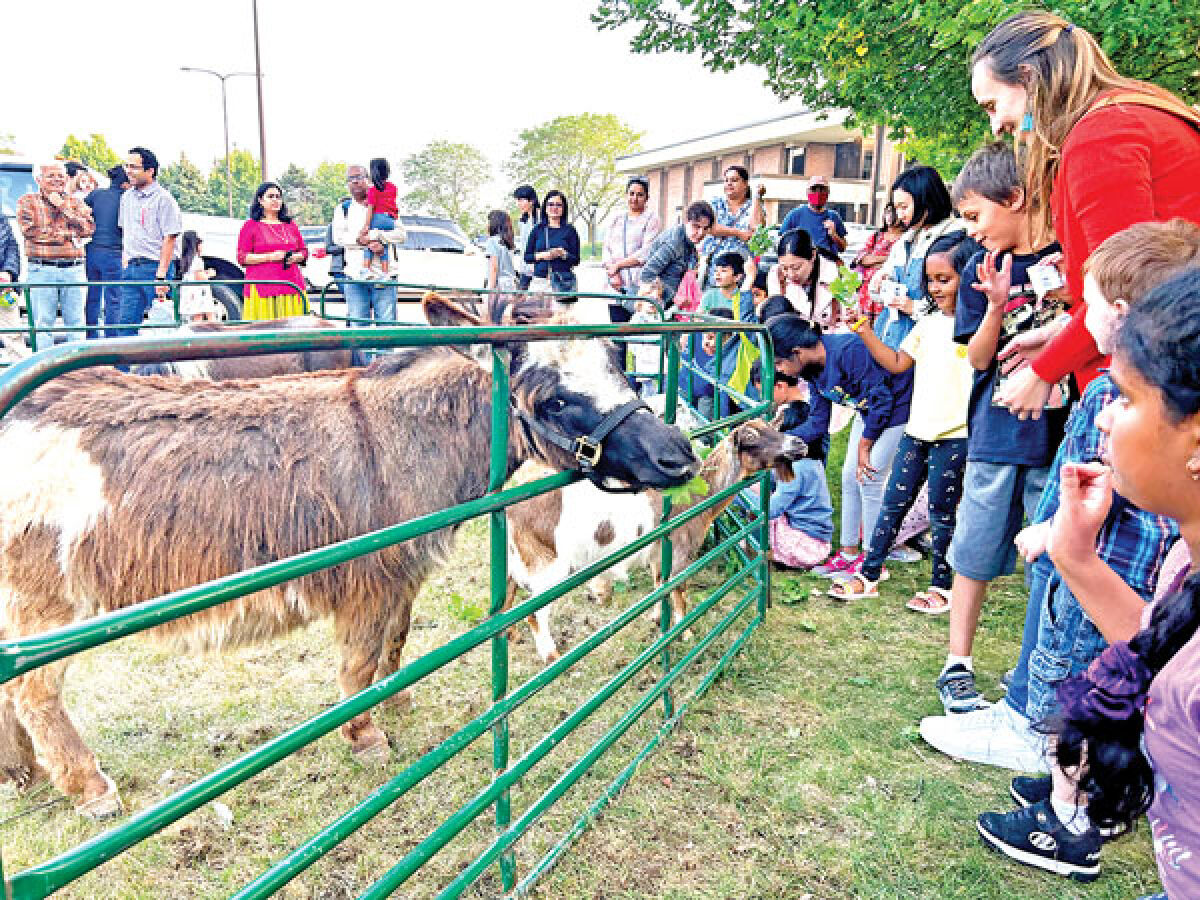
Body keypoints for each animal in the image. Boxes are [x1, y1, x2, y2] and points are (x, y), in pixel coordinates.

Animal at [0, 294, 696, 816]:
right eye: (554, 399)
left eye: (623, 368)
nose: (678, 458)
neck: (401, 437)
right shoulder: (367, 580)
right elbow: (358, 666)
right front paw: (366, 736)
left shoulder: (402, 577)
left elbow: (396, 641)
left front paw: (397, 699)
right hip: (47, 604)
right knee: (35, 692)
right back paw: (90, 789)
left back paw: (18, 773)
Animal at [506, 422, 806, 662]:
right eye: (752, 436)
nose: (800, 443)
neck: (698, 499)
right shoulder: (680, 554)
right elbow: (679, 593)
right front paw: (686, 633)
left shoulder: (658, 555)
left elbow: (659, 586)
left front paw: (655, 618)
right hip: (548, 565)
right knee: (534, 612)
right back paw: (552, 657)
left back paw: (512, 636)